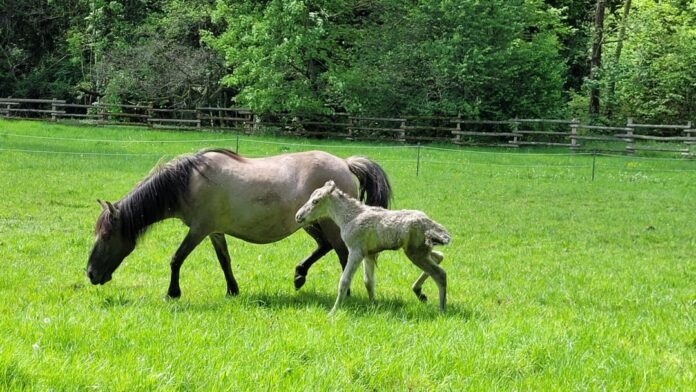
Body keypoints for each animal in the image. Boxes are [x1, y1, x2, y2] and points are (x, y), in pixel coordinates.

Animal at [294, 179, 452, 314]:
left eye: (316, 201)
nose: (298, 216)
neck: (349, 217)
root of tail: (430, 225)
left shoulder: (356, 251)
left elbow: (344, 281)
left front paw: (333, 312)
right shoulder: (368, 254)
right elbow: (368, 282)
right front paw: (373, 306)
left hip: (415, 253)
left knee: (440, 274)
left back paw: (441, 308)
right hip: (421, 250)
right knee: (439, 256)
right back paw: (419, 292)